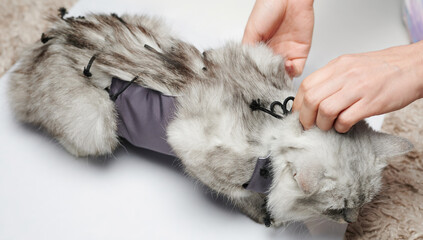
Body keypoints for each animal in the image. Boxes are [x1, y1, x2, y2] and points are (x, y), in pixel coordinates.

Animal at [8, 11, 414, 228]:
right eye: (336, 209)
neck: (274, 122)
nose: (352, 221)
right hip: (94, 125)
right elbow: (240, 194)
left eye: (365, 202)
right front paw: (262, 213)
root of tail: (48, 40)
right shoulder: (192, 145)